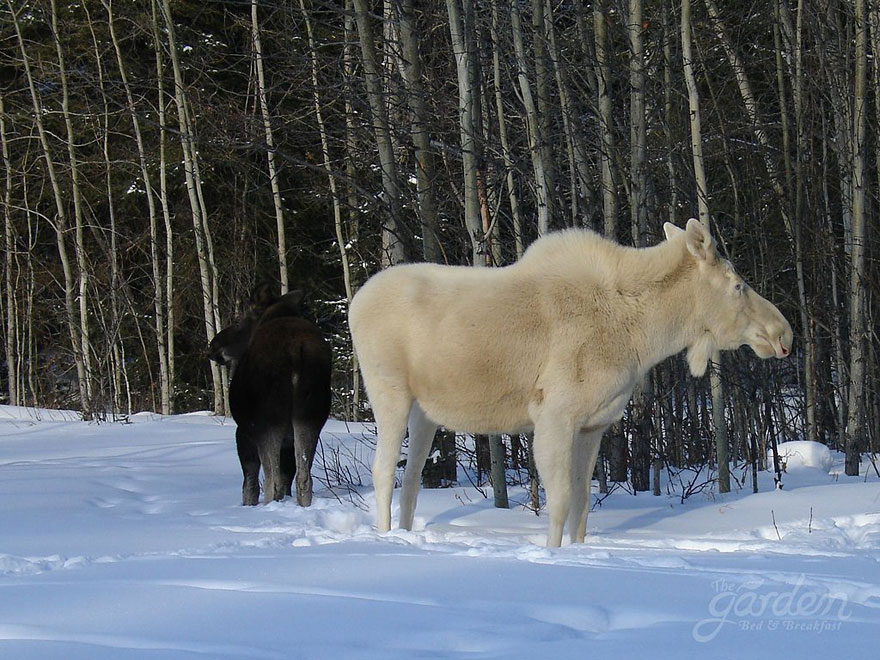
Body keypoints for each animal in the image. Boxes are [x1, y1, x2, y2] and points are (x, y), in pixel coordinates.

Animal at [208, 286, 332, 508]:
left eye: (238, 321)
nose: (213, 347)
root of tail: (295, 351)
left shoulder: (244, 431)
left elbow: (249, 484)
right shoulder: (288, 441)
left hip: (267, 423)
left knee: (271, 481)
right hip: (310, 418)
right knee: (303, 478)